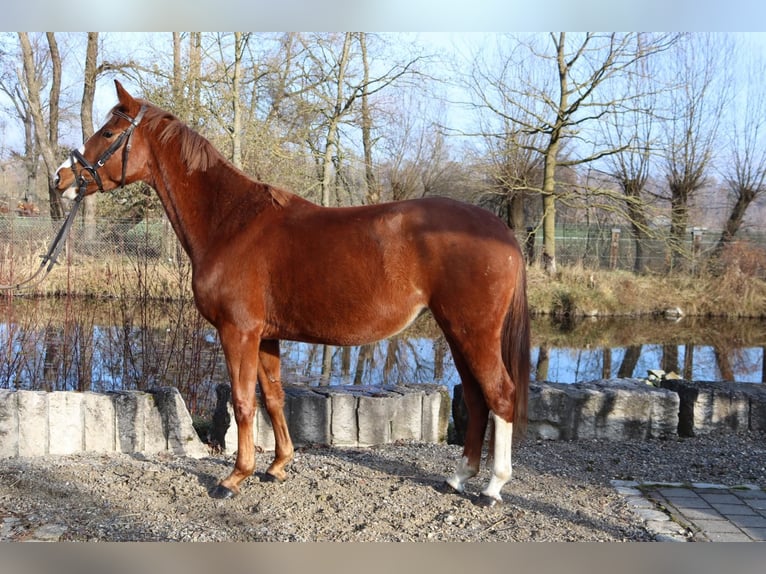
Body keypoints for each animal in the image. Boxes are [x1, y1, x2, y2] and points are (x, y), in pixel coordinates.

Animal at [54, 81, 532, 508]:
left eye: (109, 133)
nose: (61, 178)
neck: (231, 223)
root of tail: (502, 232)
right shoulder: (266, 335)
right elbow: (274, 397)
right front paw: (278, 465)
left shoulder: (238, 332)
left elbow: (244, 403)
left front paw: (235, 477)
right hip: (457, 332)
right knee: (477, 398)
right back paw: (458, 477)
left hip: (474, 332)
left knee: (500, 395)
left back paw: (492, 488)